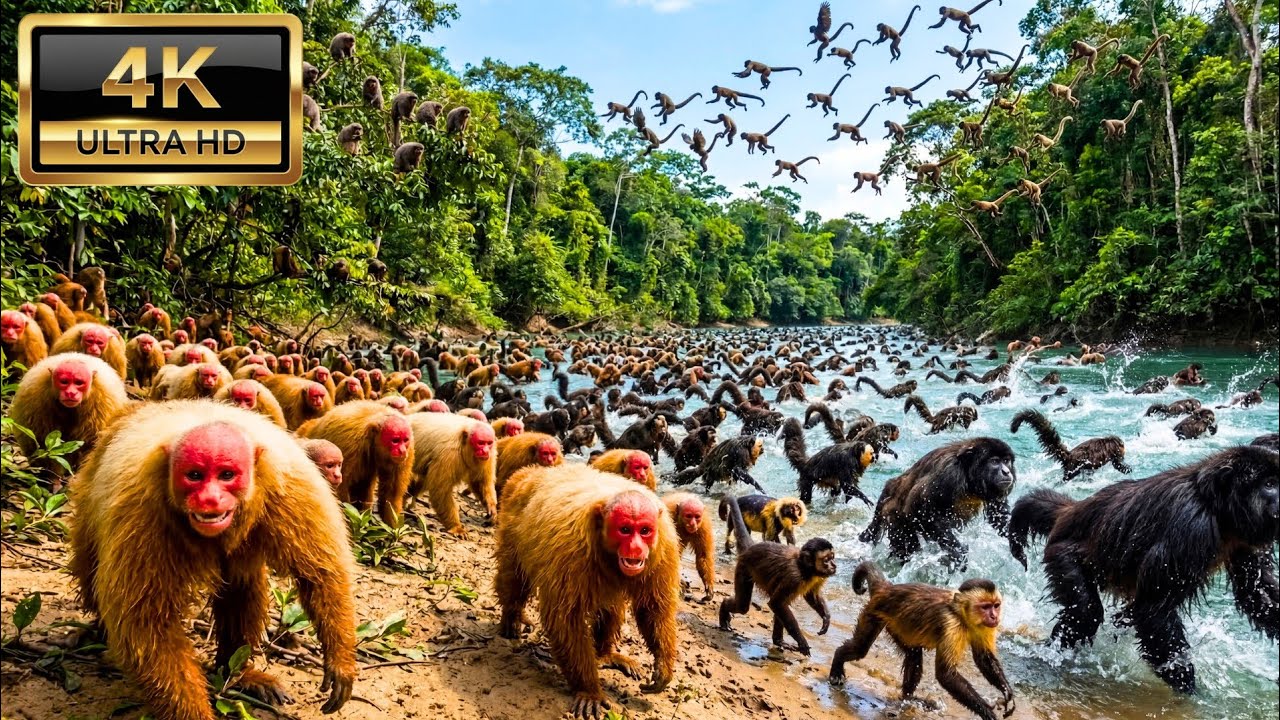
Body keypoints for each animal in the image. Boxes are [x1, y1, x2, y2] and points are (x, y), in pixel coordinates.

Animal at [68, 402, 357, 720]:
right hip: (90, 490)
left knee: (241, 581)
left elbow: (321, 573)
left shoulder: (295, 490)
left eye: (226, 475)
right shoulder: (140, 512)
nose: (210, 499)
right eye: (195, 475)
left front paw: (340, 659)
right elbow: (147, 627)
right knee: (90, 567)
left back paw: (237, 674)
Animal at [496, 465, 678, 718]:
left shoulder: (665, 546)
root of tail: (532, 474)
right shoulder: (570, 550)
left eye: (644, 531)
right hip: (511, 518)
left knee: (612, 605)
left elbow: (653, 608)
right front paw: (589, 690)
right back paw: (512, 616)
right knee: (514, 575)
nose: (636, 548)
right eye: (625, 530)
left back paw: (605, 655)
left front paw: (663, 665)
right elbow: (566, 620)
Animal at [719, 492, 836, 655]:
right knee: (744, 605)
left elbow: (809, 596)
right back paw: (724, 608)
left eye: (832, 558)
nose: (834, 566)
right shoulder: (794, 577)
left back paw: (778, 641)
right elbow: (776, 603)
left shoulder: (816, 576)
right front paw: (802, 641)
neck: (804, 568)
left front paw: (826, 618)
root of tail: (751, 547)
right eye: (826, 560)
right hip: (744, 567)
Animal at [830, 562, 1015, 720]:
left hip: (897, 624)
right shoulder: (951, 624)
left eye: (996, 605)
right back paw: (838, 662)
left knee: (913, 655)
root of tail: (886, 588)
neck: (961, 614)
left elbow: (983, 658)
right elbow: (946, 674)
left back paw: (907, 698)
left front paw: (1007, 692)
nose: (994, 616)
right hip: (875, 612)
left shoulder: (984, 626)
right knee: (861, 648)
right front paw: (987, 712)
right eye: (985, 607)